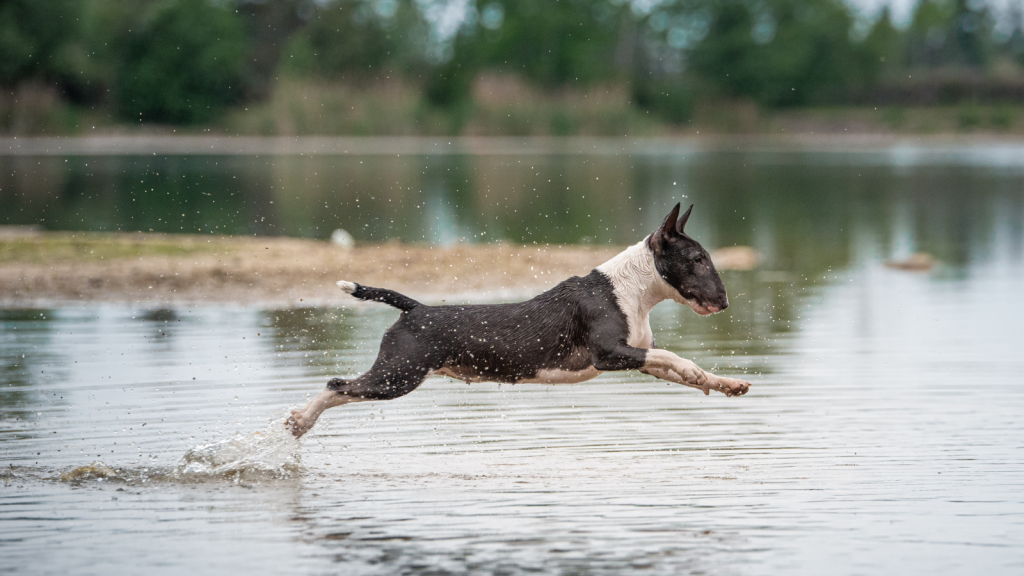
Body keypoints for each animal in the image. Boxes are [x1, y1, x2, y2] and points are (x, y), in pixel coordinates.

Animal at [288, 203, 753, 436]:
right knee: (337, 385)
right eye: (698, 258)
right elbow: (675, 357)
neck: (631, 289)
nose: (725, 302)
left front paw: (725, 383)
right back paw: (300, 421)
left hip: (397, 374)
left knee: (344, 388)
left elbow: (678, 366)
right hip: (398, 374)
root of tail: (415, 309)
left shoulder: (639, 354)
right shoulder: (608, 354)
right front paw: (704, 376)